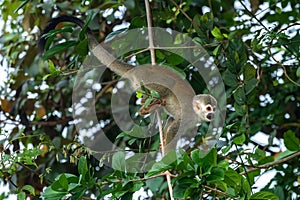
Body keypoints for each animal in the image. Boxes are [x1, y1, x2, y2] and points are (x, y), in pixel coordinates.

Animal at [38, 15, 217, 153]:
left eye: (214, 109)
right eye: (209, 109)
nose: (212, 115)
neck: (196, 112)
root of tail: (137, 68)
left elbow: (171, 122)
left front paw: (164, 143)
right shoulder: (187, 115)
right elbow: (175, 127)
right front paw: (169, 154)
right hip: (147, 79)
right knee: (167, 85)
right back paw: (147, 106)